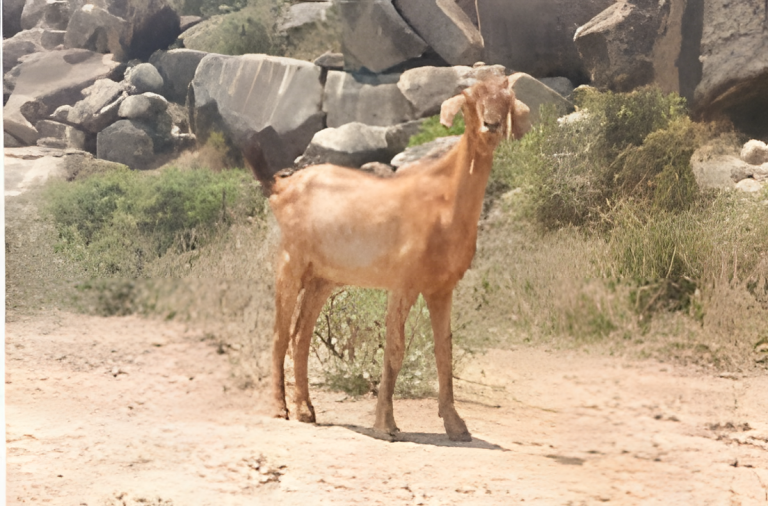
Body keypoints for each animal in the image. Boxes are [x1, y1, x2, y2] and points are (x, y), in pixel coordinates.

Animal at [264, 75, 531, 441]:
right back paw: (280, 408)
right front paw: (386, 423)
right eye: (469, 98)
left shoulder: (441, 289)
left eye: (507, 98)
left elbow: (444, 349)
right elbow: (394, 347)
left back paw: (306, 409)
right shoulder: (403, 283)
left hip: (322, 279)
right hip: (290, 263)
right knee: (279, 334)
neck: (445, 200)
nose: (491, 125)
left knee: (300, 336)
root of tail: (281, 187)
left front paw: (455, 424)